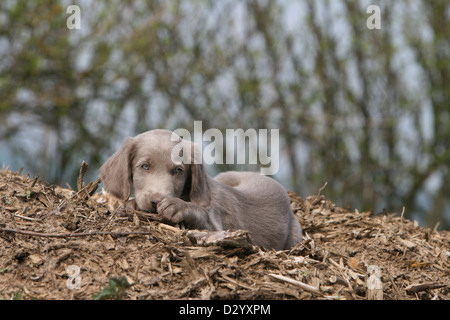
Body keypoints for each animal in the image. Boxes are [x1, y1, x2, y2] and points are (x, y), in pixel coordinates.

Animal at [99, 129, 302, 250]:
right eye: (145, 166)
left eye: (178, 171)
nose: (156, 201)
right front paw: (129, 205)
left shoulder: (218, 226)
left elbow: (201, 214)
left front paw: (178, 206)